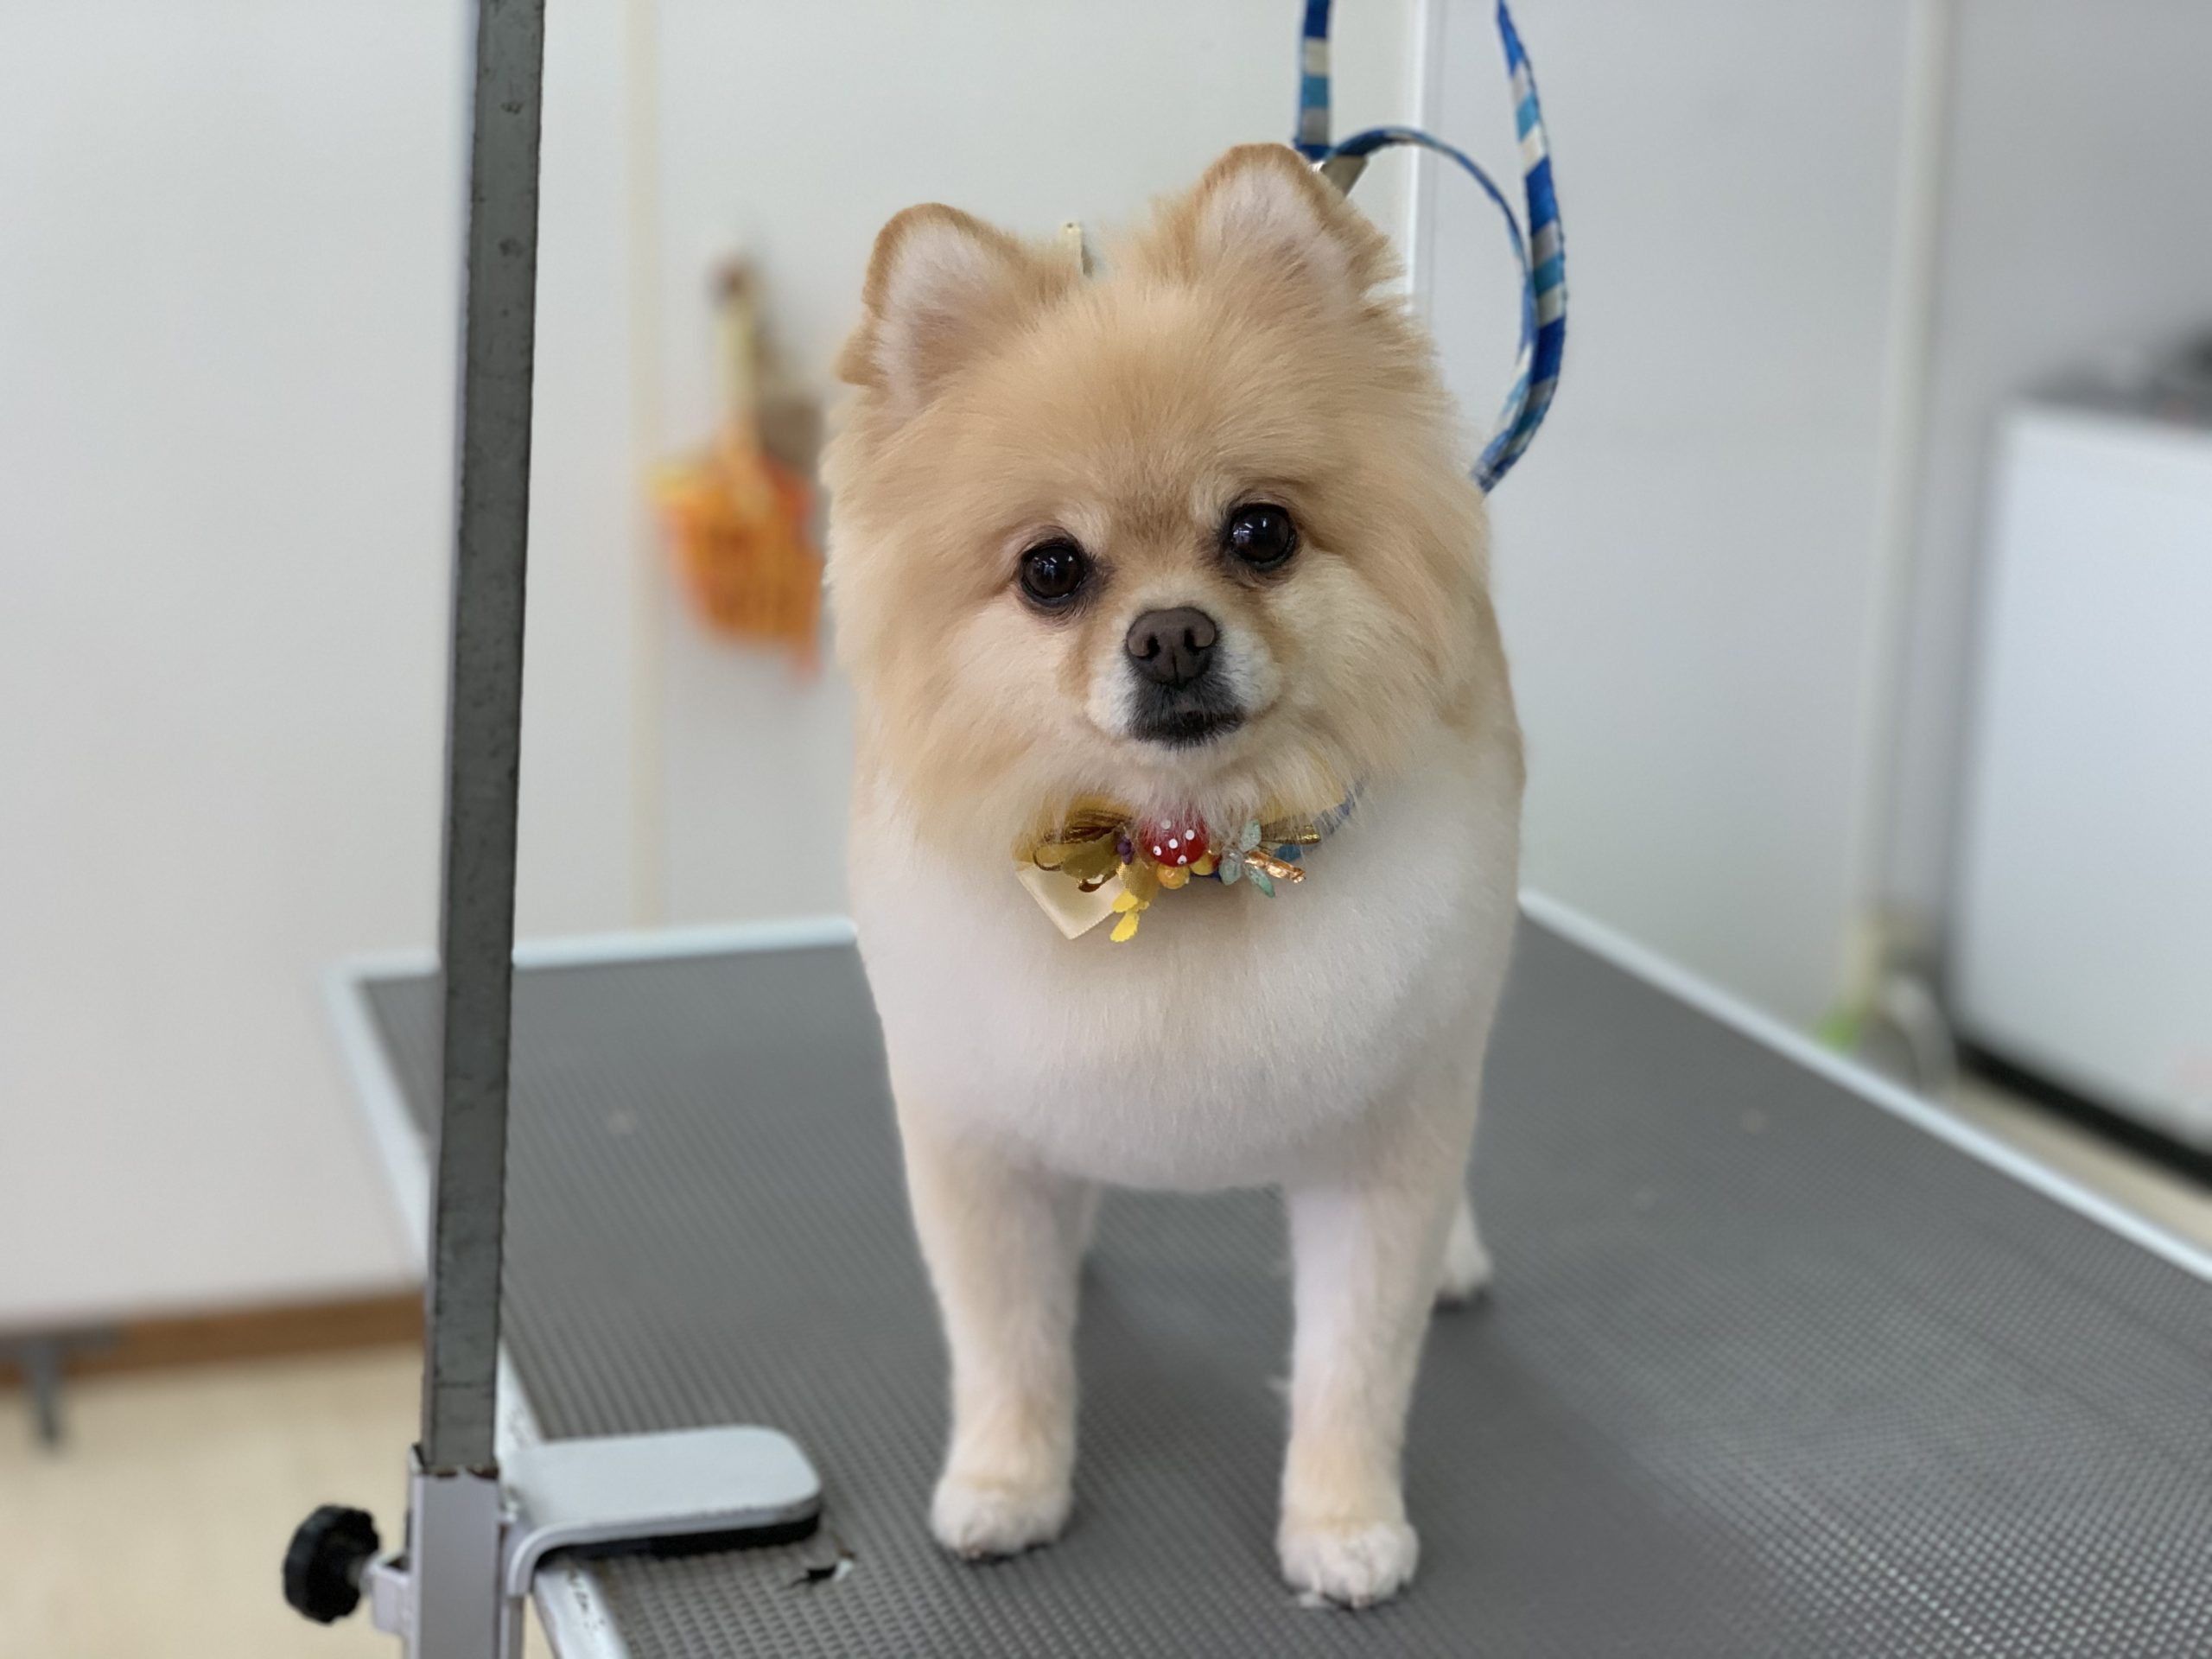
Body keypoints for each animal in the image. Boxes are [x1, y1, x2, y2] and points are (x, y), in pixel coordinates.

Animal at [822, 142, 1523, 1608]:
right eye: (1050, 570)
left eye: (1260, 532)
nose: (1172, 635)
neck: (1183, 858)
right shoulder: (974, 1137)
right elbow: (1005, 1343)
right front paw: (1006, 1482)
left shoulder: (1385, 1146)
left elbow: (1355, 1366)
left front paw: (1343, 1523)